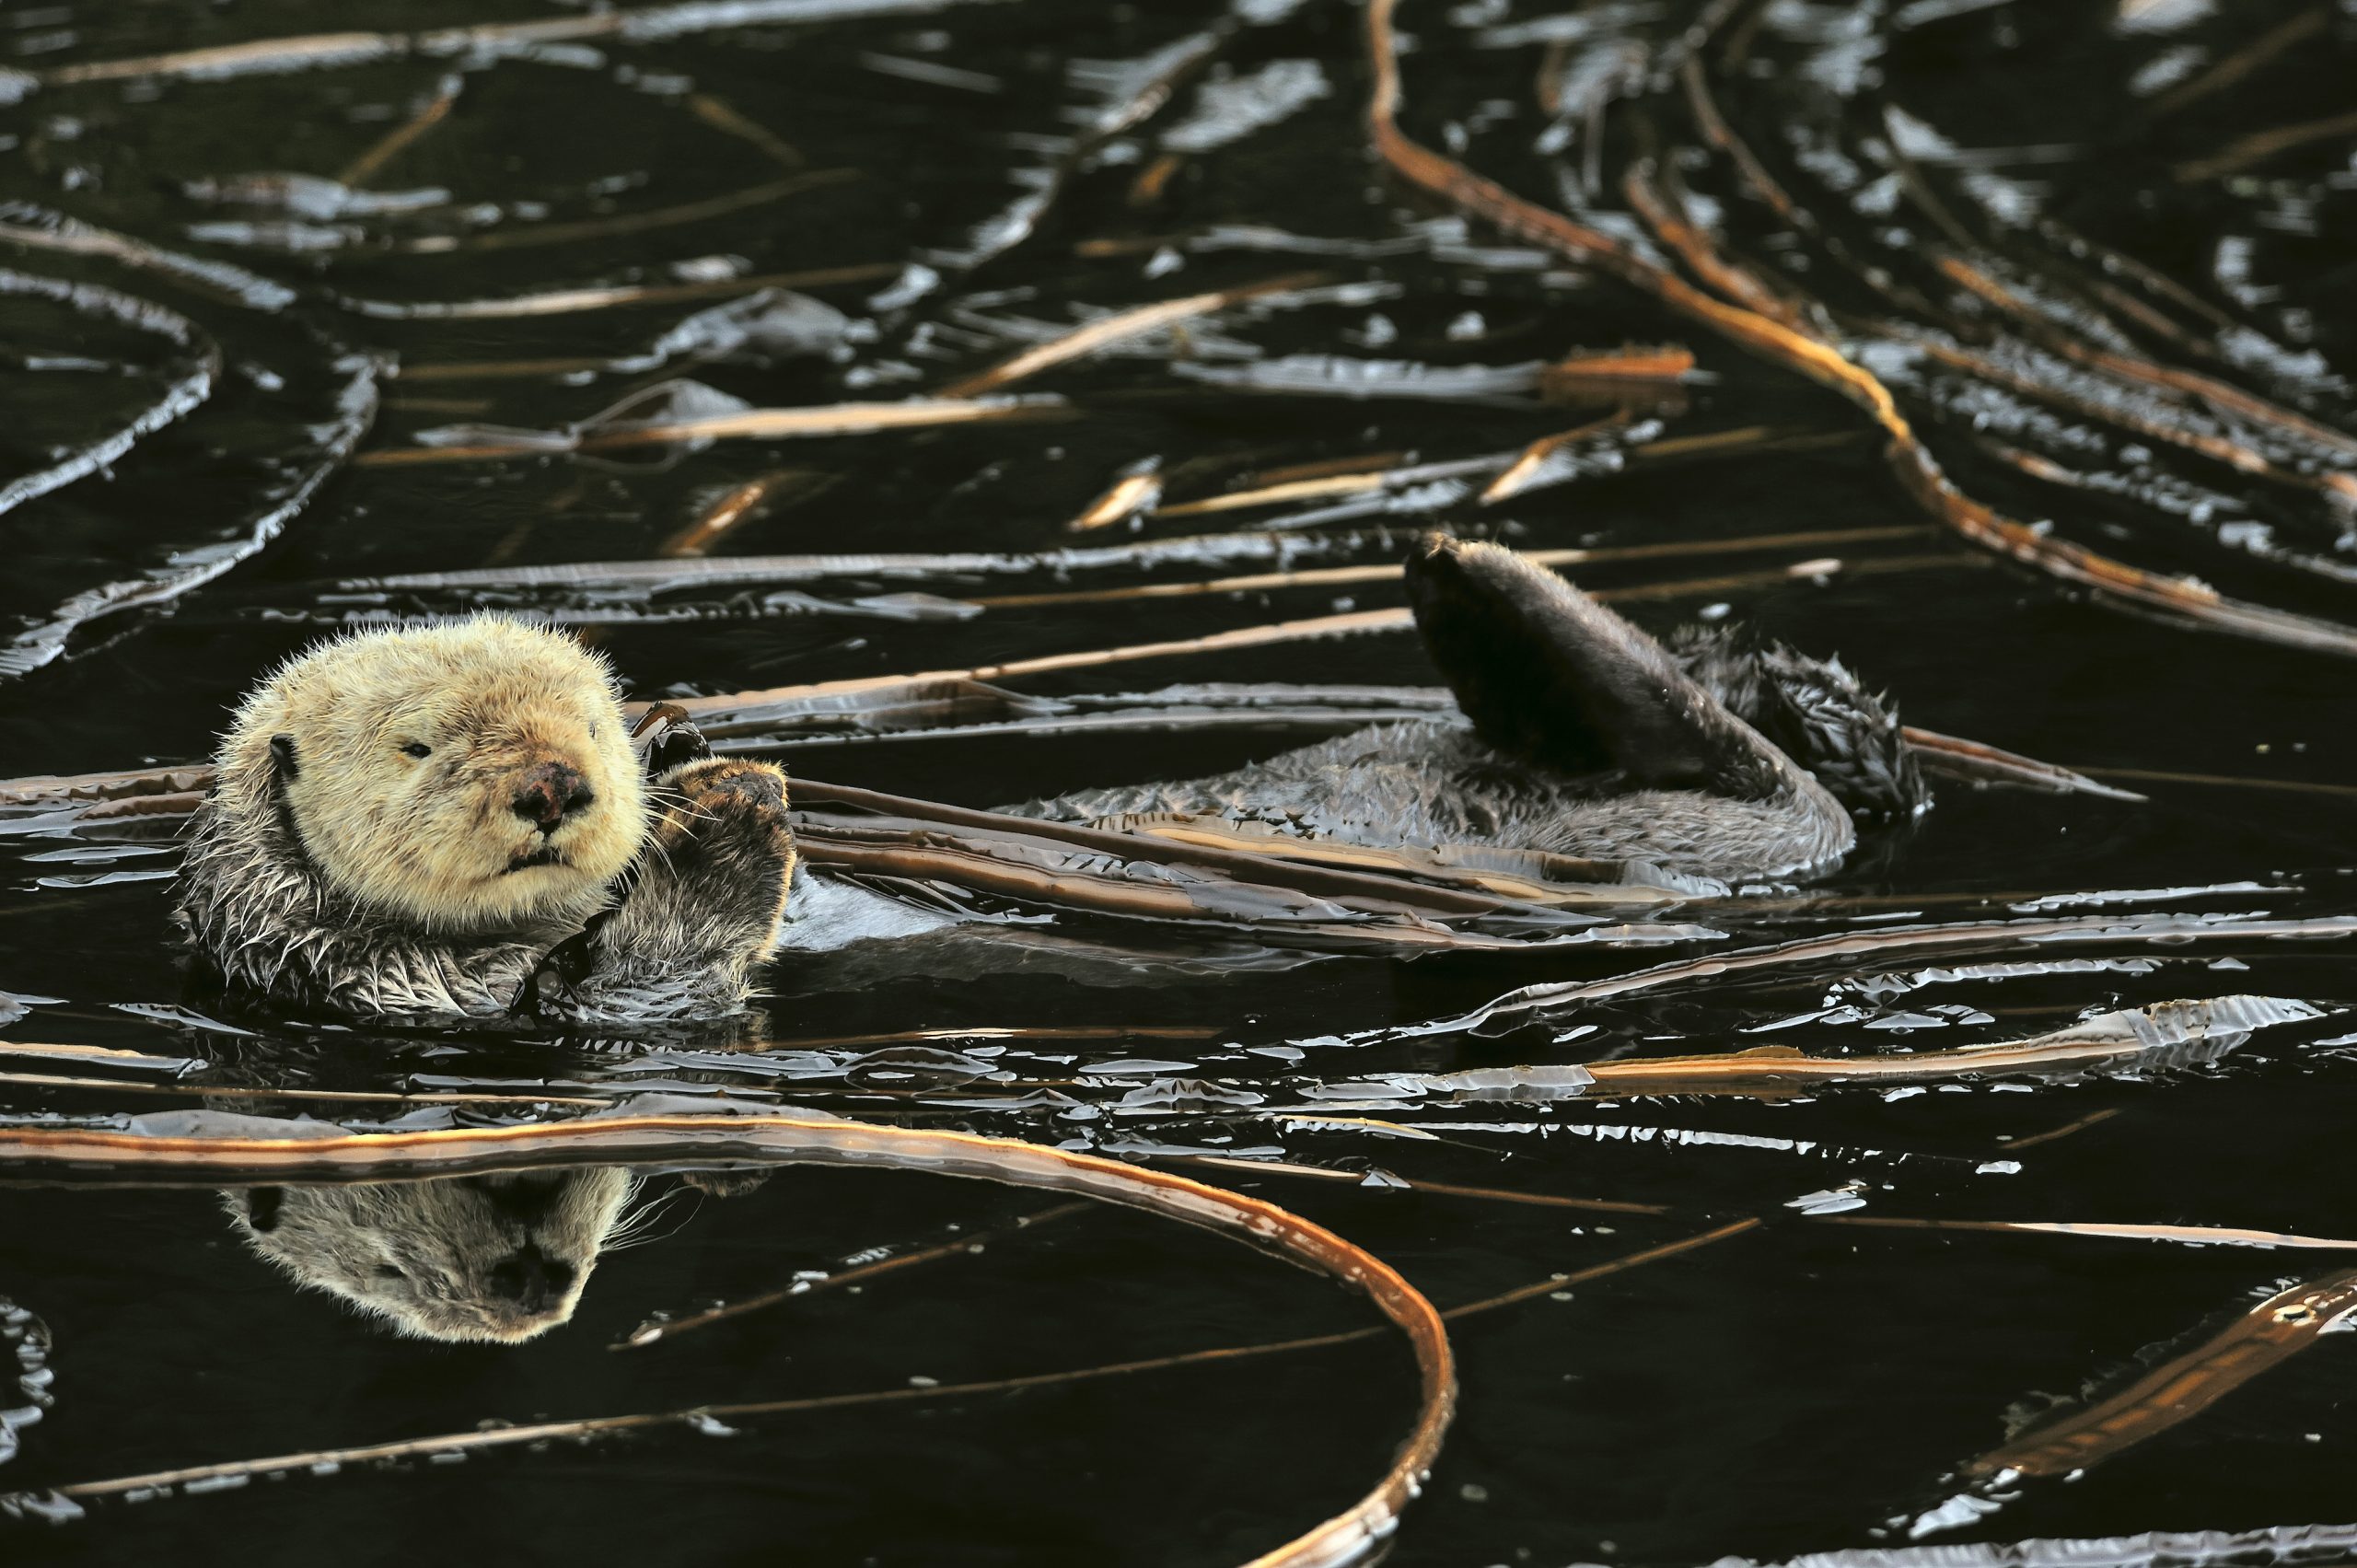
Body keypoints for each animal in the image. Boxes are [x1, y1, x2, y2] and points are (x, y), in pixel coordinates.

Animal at [176, 617, 795, 1026]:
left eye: (593, 728)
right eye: (417, 747)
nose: (552, 788)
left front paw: (692, 756)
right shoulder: (388, 976)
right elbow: (640, 994)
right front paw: (732, 821)